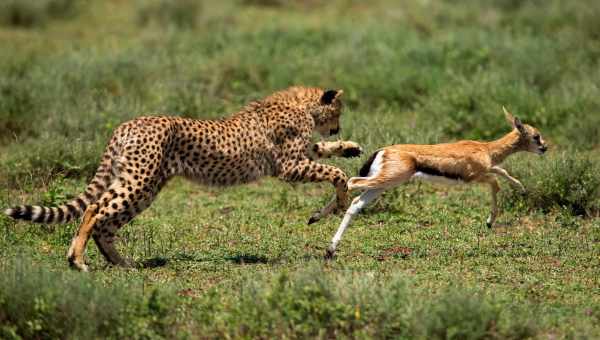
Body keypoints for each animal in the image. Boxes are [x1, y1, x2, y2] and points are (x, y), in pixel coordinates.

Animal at [4, 85, 360, 270]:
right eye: (339, 111)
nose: (338, 127)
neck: (300, 105)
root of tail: (128, 123)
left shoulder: (297, 157)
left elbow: (323, 151)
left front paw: (349, 147)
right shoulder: (288, 166)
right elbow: (336, 173)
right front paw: (339, 201)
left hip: (144, 187)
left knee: (106, 223)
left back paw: (122, 263)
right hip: (140, 181)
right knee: (94, 210)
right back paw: (76, 260)